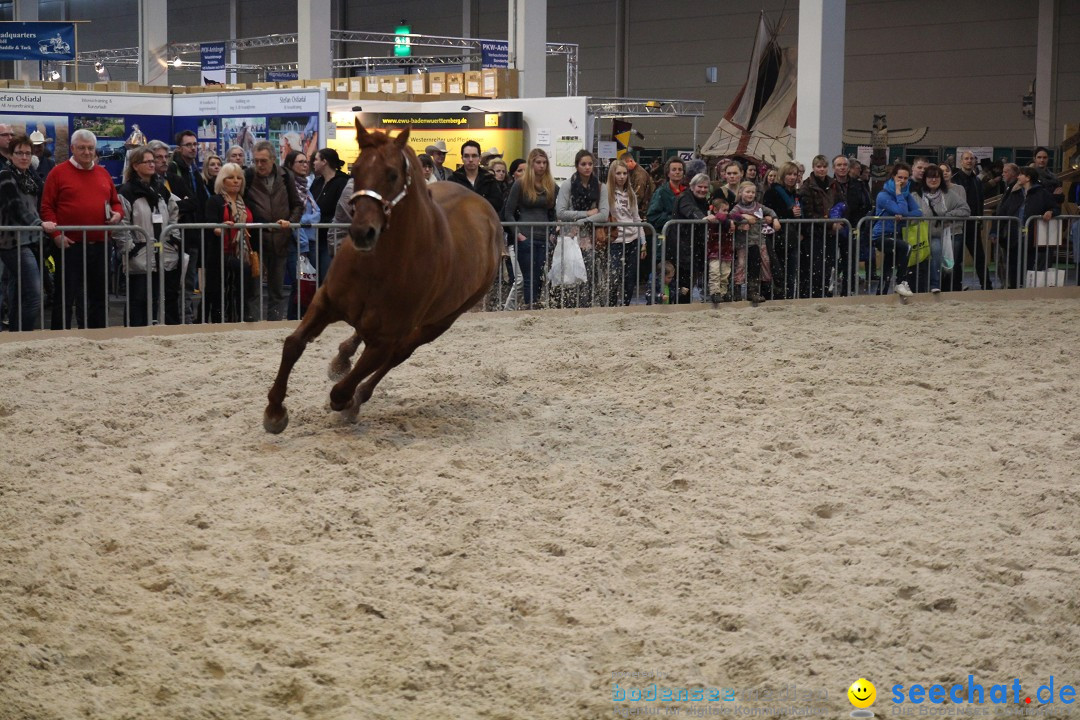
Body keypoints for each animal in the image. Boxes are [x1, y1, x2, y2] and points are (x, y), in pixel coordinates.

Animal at [267, 122, 507, 433]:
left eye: (392, 174)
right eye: (355, 169)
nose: (362, 233)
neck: (380, 263)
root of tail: (487, 209)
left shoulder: (386, 339)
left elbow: (343, 390)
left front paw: (347, 402)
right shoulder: (324, 302)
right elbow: (293, 344)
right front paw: (274, 411)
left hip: (439, 322)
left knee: (399, 354)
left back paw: (357, 397)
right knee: (359, 339)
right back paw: (341, 359)